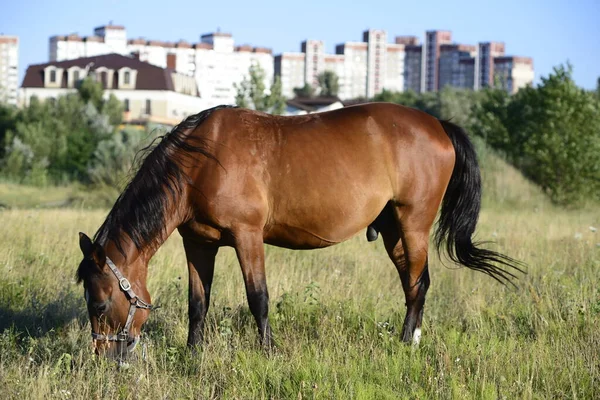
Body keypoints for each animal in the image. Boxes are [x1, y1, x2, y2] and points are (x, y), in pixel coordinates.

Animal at [77, 103, 524, 360]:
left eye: (99, 304)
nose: (104, 358)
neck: (201, 161)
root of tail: (437, 124)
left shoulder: (247, 237)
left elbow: (258, 298)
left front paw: (269, 353)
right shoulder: (199, 243)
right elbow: (197, 303)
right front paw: (193, 355)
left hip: (413, 223)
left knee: (418, 283)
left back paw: (407, 343)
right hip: (394, 230)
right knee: (413, 284)